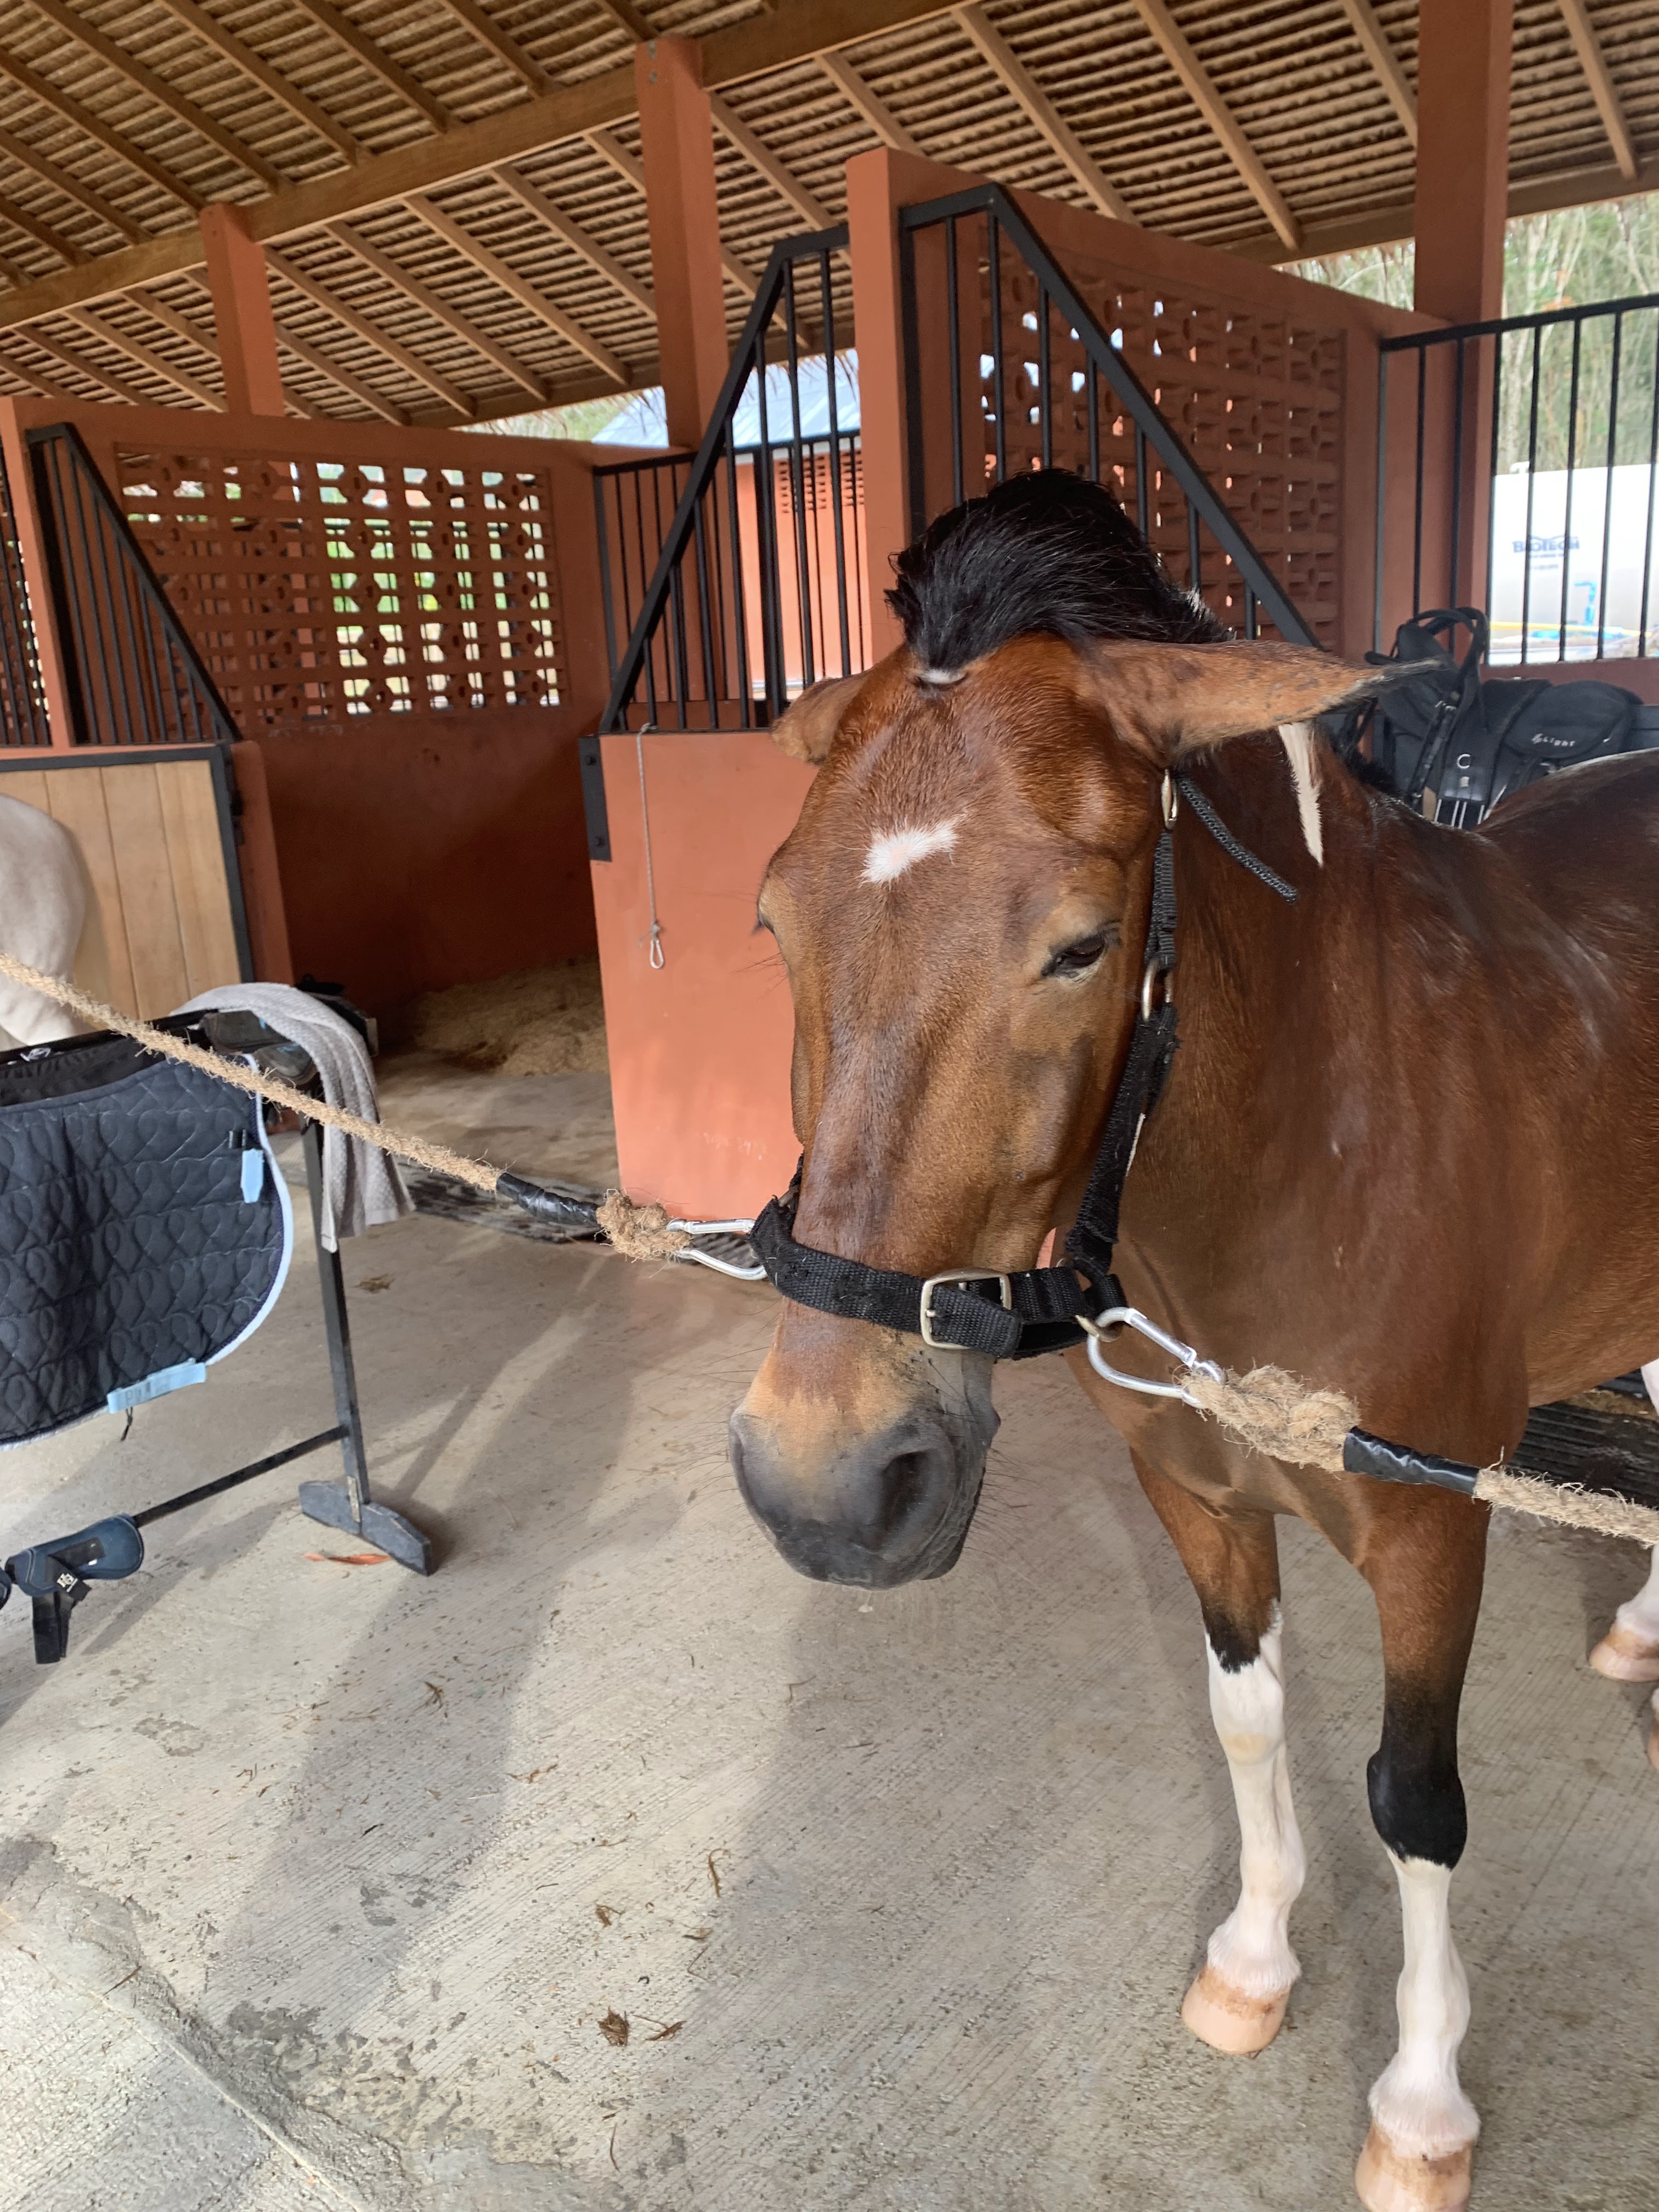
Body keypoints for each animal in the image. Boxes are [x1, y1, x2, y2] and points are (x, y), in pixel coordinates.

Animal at [726, 470, 1659, 2212]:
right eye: (772, 923)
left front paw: (1421, 2107)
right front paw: (1253, 1965)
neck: (1321, 1148)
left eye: (1084, 942)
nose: (828, 1484)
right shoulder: (1198, 1496)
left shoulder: (1432, 1530)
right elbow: (1249, 1718)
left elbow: (1413, 1802)